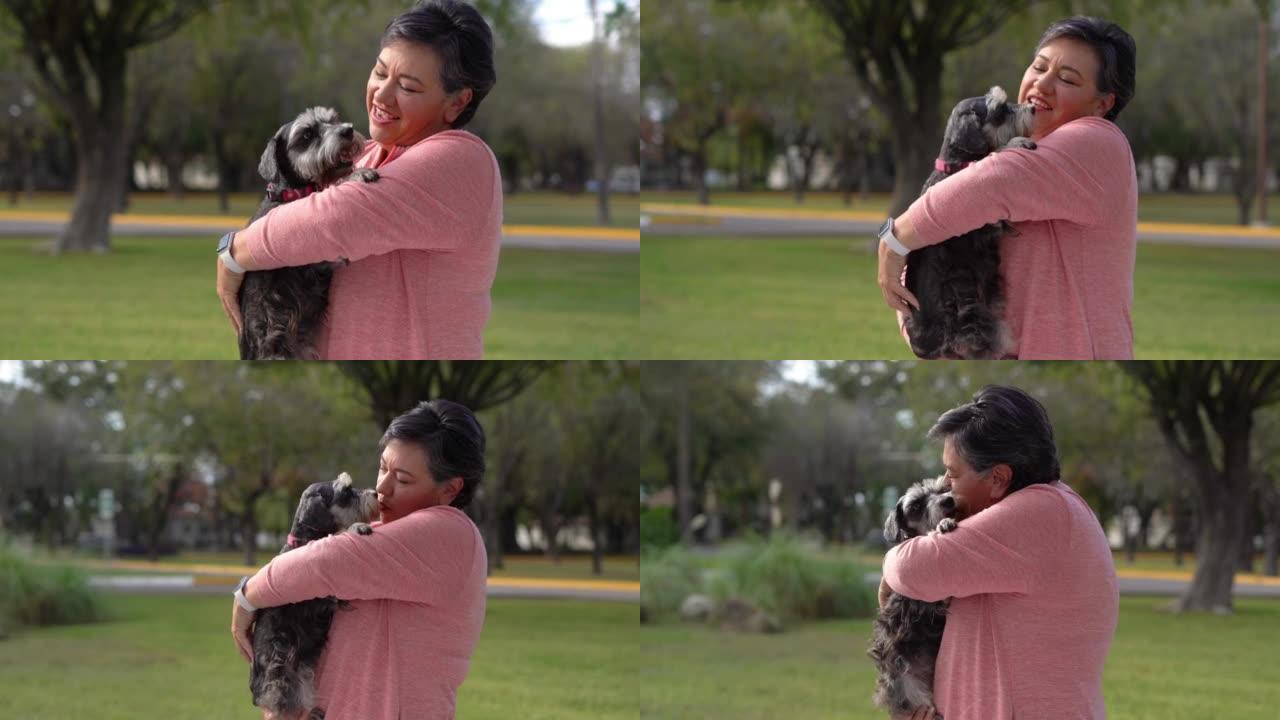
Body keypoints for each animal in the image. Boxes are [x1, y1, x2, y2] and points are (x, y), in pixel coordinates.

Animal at [236, 105, 376, 358]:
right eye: (307, 135)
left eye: (333, 120)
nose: (347, 130)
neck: (292, 194)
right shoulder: (312, 256)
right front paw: (357, 175)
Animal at [248, 471, 376, 717]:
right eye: (346, 491)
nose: (374, 493)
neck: (304, 541)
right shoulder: (319, 597)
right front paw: (357, 527)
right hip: (281, 669)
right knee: (283, 701)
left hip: (303, 666)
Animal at [870, 474, 962, 712]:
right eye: (916, 505)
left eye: (942, 489)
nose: (948, 501)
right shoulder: (929, 598)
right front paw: (939, 527)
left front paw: (945, 523)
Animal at [901, 85, 1039, 358]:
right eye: (1000, 110)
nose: (1033, 108)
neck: (957, 165)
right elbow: (994, 154)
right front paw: (1016, 143)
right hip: (971, 317)